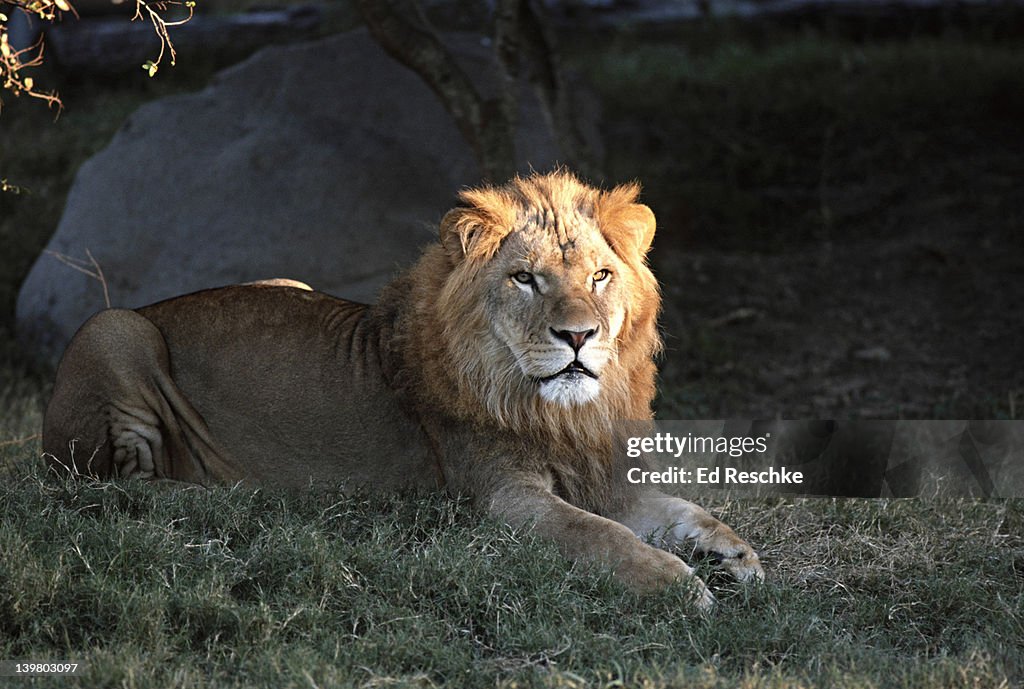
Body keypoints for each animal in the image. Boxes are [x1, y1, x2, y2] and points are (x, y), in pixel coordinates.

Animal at [46, 170, 761, 606]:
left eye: (601, 276)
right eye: (524, 278)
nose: (579, 336)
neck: (563, 412)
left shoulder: (604, 477)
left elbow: (684, 510)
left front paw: (738, 559)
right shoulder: (502, 499)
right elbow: (603, 537)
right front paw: (684, 587)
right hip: (112, 330)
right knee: (112, 484)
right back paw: (225, 497)